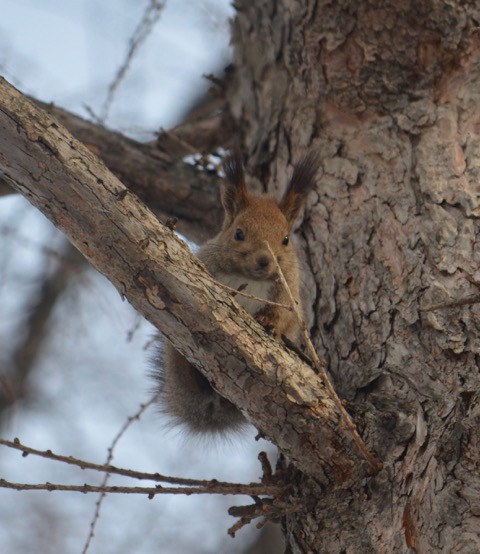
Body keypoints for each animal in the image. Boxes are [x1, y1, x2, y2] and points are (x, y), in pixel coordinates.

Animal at [153, 150, 318, 432]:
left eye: (286, 239)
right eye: (238, 233)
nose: (264, 260)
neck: (248, 278)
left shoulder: (288, 293)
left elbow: (284, 316)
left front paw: (270, 324)